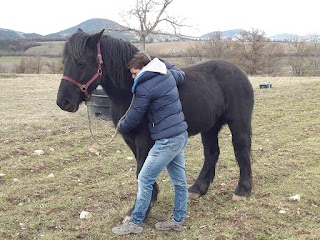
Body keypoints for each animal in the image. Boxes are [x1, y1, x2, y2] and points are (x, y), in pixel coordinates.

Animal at [56, 29, 254, 218]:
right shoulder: (129, 138)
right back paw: (198, 189)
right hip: (210, 127)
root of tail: (239, 72)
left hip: (239, 124)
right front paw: (149, 200)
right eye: (65, 61)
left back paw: (242, 191)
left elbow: (142, 168)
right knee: (211, 154)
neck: (130, 90)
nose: (63, 102)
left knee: (241, 151)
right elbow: (141, 170)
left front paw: (140, 209)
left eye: (81, 63)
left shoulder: (145, 138)